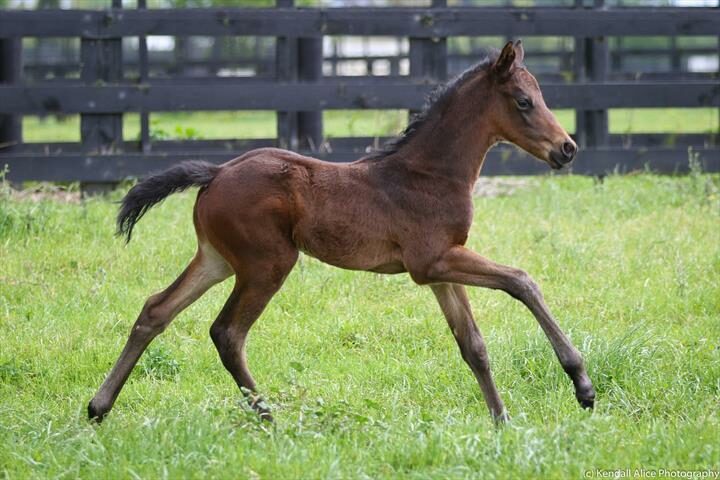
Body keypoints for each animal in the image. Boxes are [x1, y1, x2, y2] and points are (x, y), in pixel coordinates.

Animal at [88, 41, 596, 424]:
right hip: (267, 263)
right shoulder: (432, 261)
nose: (567, 149)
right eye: (524, 102)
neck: (429, 174)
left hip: (216, 258)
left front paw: (502, 421)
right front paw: (582, 385)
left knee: (155, 311)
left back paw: (98, 408)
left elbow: (473, 345)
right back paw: (268, 415)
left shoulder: (441, 269)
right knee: (227, 332)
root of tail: (215, 172)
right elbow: (522, 281)